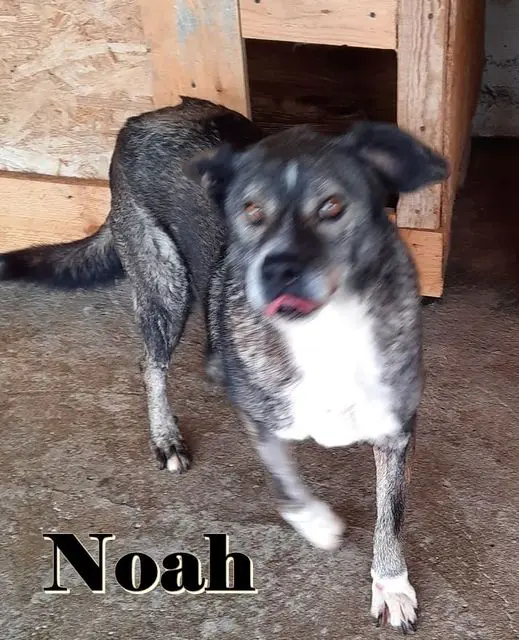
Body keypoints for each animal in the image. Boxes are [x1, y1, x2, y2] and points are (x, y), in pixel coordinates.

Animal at [1, 97, 448, 631]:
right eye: (250, 211)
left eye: (333, 206)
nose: (276, 271)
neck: (323, 333)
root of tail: (143, 119)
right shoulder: (258, 418)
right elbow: (285, 482)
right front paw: (316, 522)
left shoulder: (395, 429)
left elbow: (390, 514)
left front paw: (391, 583)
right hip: (164, 284)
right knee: (151, 364)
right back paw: (166, 435)